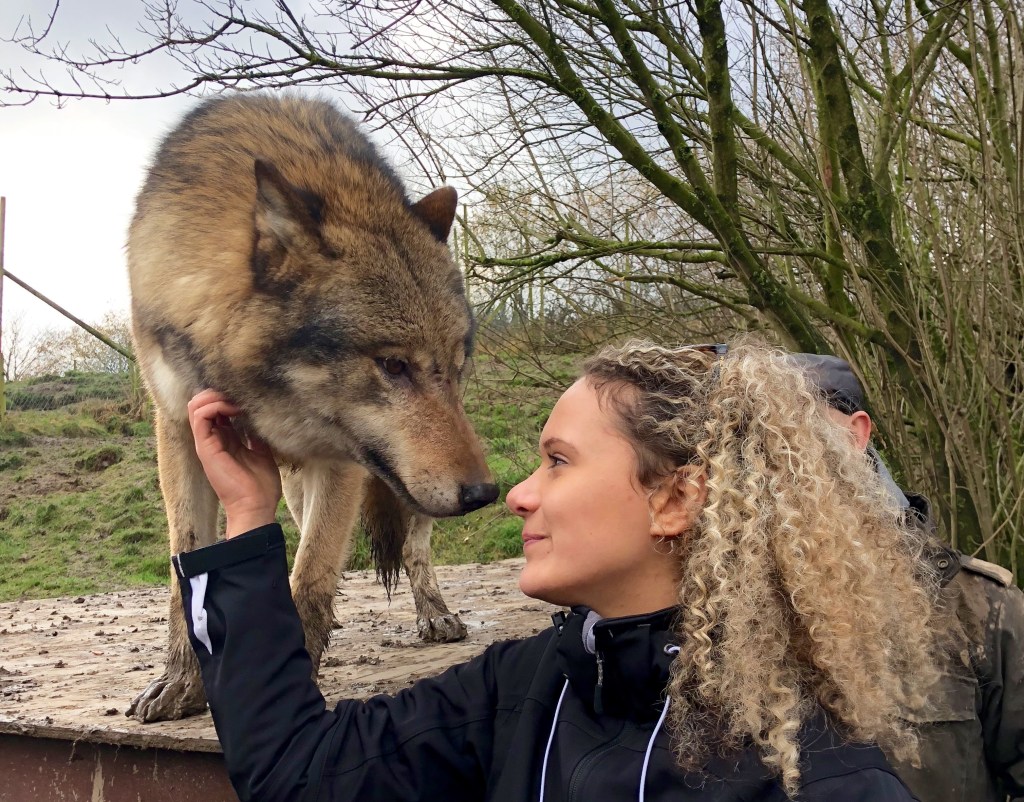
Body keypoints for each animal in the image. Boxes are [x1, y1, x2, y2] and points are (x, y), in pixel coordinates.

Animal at [124, 93, 498, 722]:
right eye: (392, 364)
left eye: (455, 366)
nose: (484, 494)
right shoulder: (177, 427)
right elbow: (185, 567)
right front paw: (179, 683)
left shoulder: (342, 459)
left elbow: (312, 580)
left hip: (408, 482)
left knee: (414, 550)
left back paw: (435, 615)